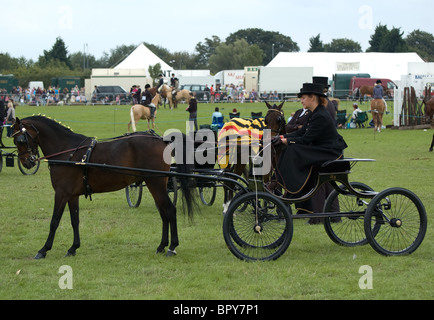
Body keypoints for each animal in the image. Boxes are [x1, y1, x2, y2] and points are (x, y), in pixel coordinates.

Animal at [11, 116, 195, 258]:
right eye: (14, 140)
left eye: (21, 140)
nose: (27, 162)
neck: (67, 150)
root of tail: (161, 139)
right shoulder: (72, 195)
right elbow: (75, 220)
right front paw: (73, 248)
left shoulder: (61, 194)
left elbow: (54, 221)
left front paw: (44, 249)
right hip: (155, 184)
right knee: (164, 213)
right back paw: (162, 246)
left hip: (155, 184)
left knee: (170, 211)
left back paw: (172, 247)